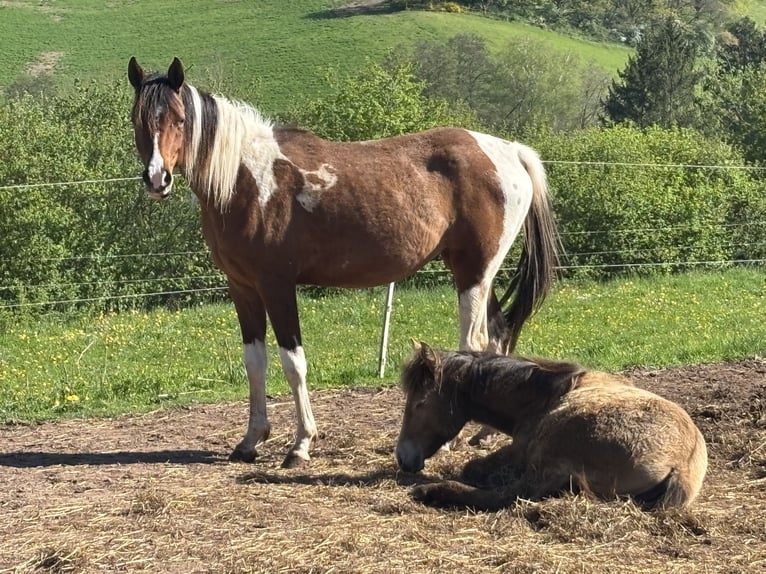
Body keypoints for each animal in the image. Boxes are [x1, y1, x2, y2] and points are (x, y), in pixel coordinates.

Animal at [127, 57, 560, 468]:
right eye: (138, 120)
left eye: (179, 119)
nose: (157, 179)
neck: (247, 180)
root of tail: (511, 151)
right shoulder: (243, 288)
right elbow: (255, 363)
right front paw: (251, 440)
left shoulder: (276, 286)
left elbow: (292, 362)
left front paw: (301, 444)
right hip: (474, 272)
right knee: (498, 335)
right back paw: (485, 432)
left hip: (474, 271)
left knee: (474, 342)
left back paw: (454, 439)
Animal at [396, 343, 708, 510]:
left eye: (419, 404)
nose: (403, 457)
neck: (544, 396)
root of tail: (682, 464)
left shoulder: (521, 451)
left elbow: (472, 468)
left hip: (549, 452)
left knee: (509, 495)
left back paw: (432, 491)